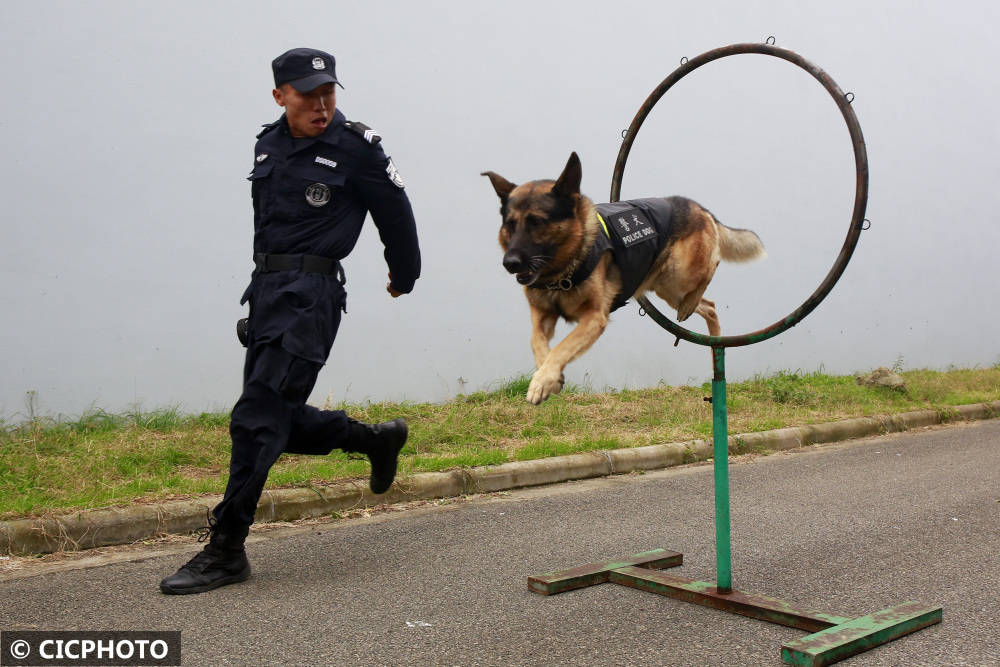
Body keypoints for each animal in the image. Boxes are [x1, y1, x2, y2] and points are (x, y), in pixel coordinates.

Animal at [484, 153, 764, 402]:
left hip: (678, 273)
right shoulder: (542, 317)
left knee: (712, 268)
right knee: (710, 306)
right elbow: (537, 343)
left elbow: (563, 346)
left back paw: (698, 313)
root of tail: (698, 207)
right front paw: (549, 377)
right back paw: (714, 339)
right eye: (510, 224)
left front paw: (542, 381)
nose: (510, 263)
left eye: (537, 222)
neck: (563, 269)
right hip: (666, 288)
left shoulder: (594, 317)